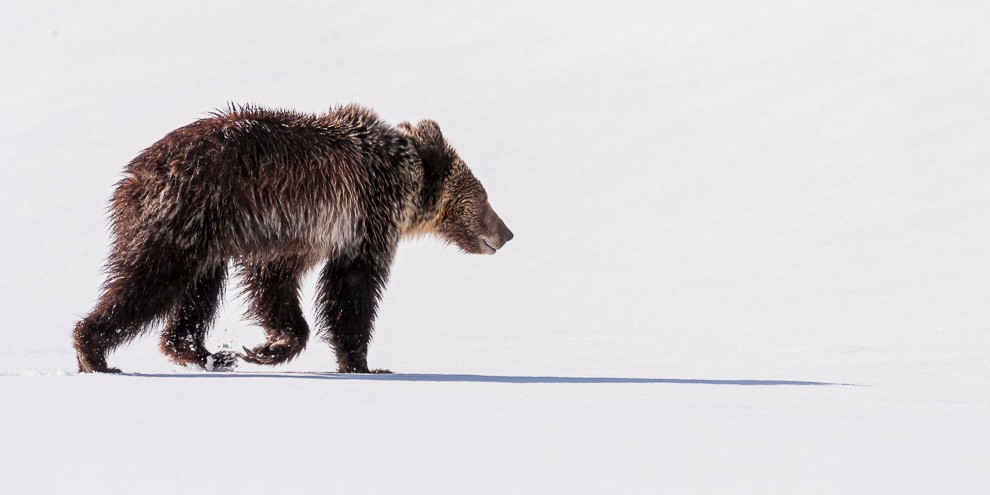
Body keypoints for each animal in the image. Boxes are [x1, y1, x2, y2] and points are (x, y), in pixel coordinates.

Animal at [73, 105, 516, 376]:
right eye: (484, 198)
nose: (508, 232)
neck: (402, 179)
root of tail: (132, 176)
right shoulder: (360, 218)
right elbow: (350, 290)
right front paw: (362, 363)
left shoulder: (300, 231)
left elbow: (275, 285)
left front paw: (265, 347)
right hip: (186, 211)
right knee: (150, 281)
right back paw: (94, 352)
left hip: (206, 231)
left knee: (198, 289)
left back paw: (202, 352)